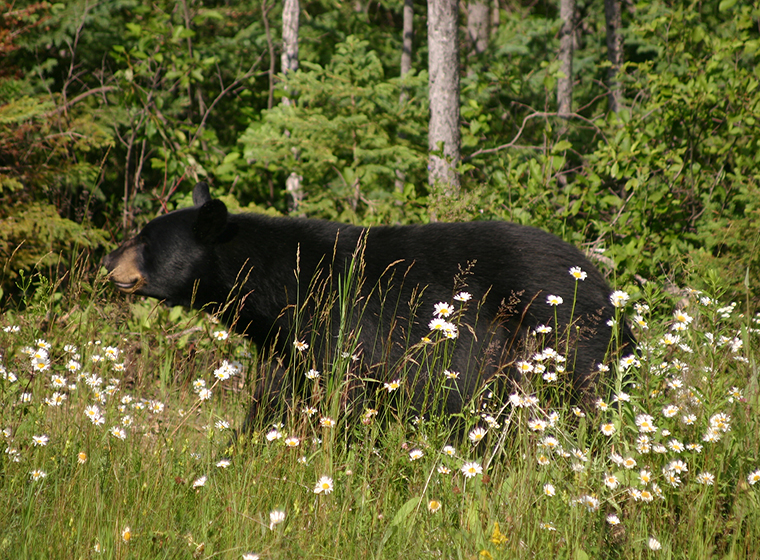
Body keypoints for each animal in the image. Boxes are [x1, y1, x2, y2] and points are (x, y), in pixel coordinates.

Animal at [104, 182, 633, 424]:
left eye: (145, 238)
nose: (108, 260)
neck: (282, 288)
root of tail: (606, 289)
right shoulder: (283, 345)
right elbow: (272, 400)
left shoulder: (342, 327)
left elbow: (348, 395)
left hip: (563, 339)